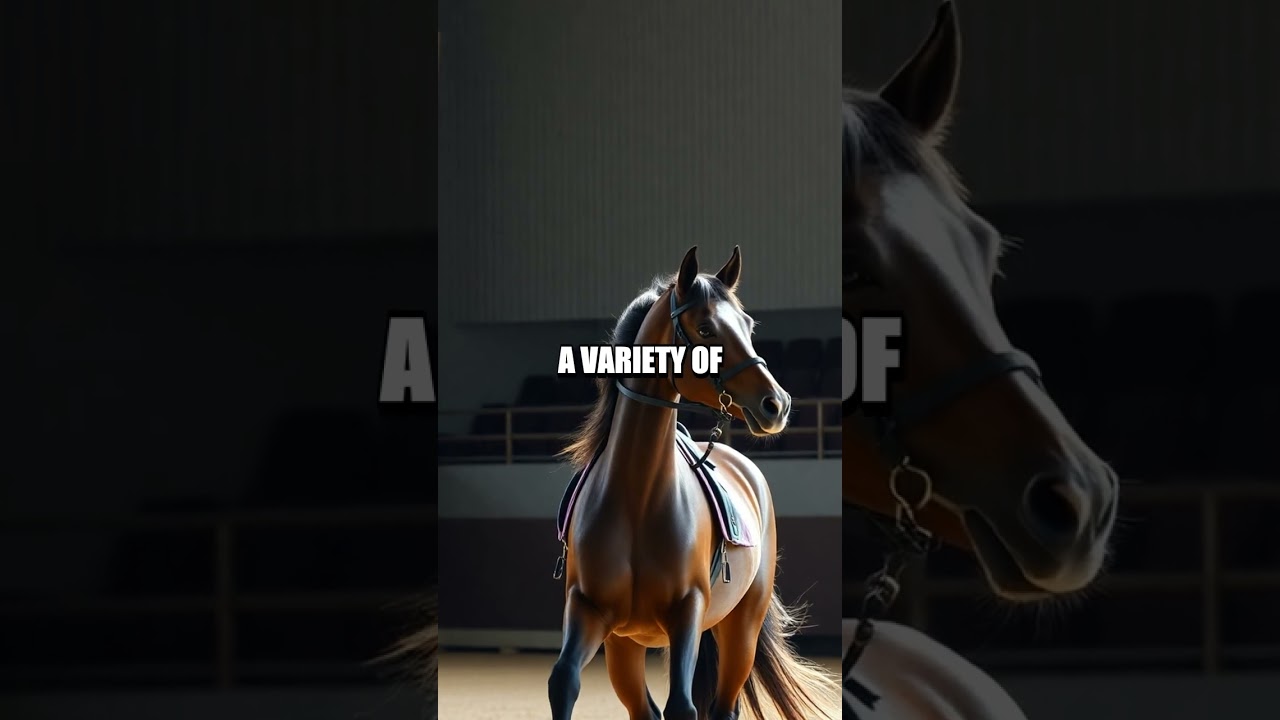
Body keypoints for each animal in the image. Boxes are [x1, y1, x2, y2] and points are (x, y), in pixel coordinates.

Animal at [551, 246, 840, 720]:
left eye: (748, 326)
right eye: (705, 329)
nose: (776, 404)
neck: (636, 498)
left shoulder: (688, 611)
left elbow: (683, 706)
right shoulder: (590, 611)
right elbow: (563, 682)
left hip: (740, 628)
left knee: (722, 706)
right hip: (625, 646)